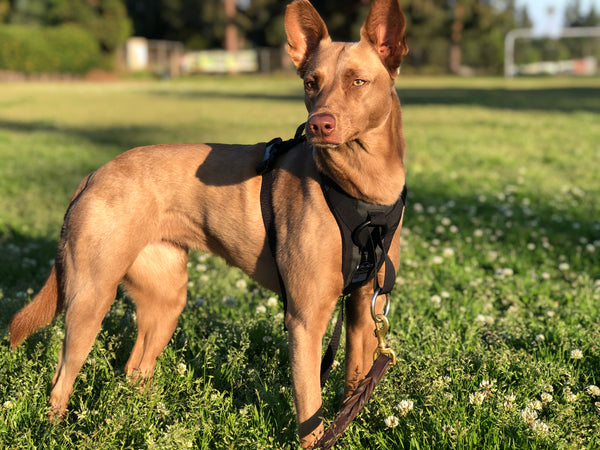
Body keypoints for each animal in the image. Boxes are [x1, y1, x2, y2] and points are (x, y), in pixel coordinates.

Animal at [9, 0, 410, 446]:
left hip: (166, 299)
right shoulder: (305, 320)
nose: (320, 125)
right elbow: (312, 413)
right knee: (61, 380)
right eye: (311, 82)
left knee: (135, 371)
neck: (363, 189)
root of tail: (94, 174)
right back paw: (55, 431)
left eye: (358, 81)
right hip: (90, 298)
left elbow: (353, 389)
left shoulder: (363, 309)